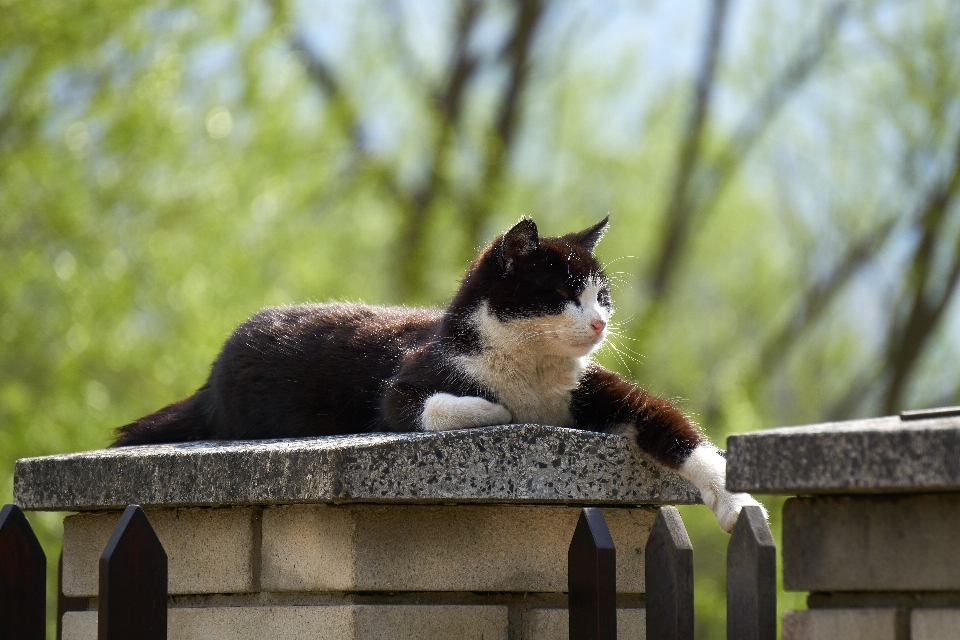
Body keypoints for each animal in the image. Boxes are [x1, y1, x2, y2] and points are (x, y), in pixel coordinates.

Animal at [112, 218, 760, 532]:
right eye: (563, 296)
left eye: (601, 296)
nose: (601, 322)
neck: (532, 368)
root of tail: (208, 380)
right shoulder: (403, 388)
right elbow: (439, 404)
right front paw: (502, 407)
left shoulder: (599, 391)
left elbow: (674, 426)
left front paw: (736, 501)